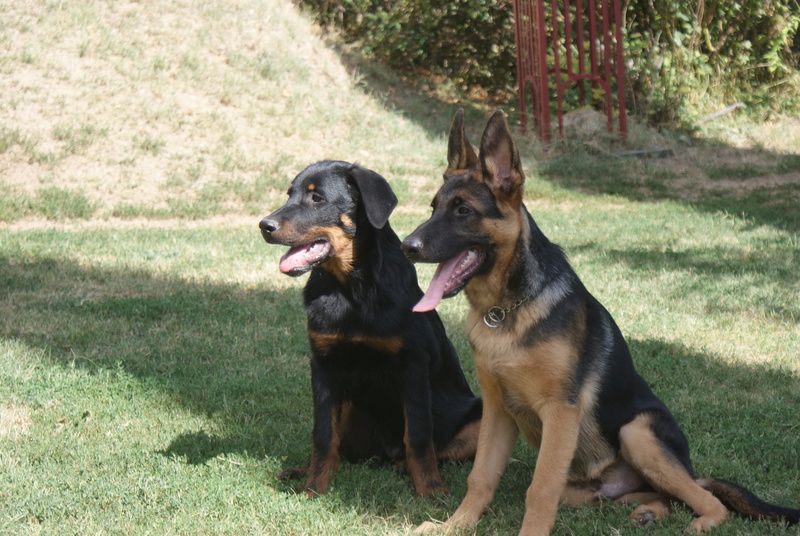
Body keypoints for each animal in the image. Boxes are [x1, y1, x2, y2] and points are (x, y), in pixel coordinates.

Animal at [260, 160, 482, 498]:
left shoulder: (413, 365)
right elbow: (323, 435)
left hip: (479, 415)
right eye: (289, 195)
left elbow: (418, 435)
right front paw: (314, 487)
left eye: (317, 198)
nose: (264, 226)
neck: (351, 290)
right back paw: (301, 471)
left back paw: (405, 467)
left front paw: (431, 490)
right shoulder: (323, 365)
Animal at [404, 111, 796, 532]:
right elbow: (481, 478)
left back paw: (699, 521)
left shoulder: (560, 411)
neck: (505, 311)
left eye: (463, 211)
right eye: (433, 207)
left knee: (705, 497)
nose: (407, 246)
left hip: (637, 433)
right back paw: (646, 511)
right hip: (589, 487)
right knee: (655, 495)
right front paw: (455, 525)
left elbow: (539, 489)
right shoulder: (497, 411)